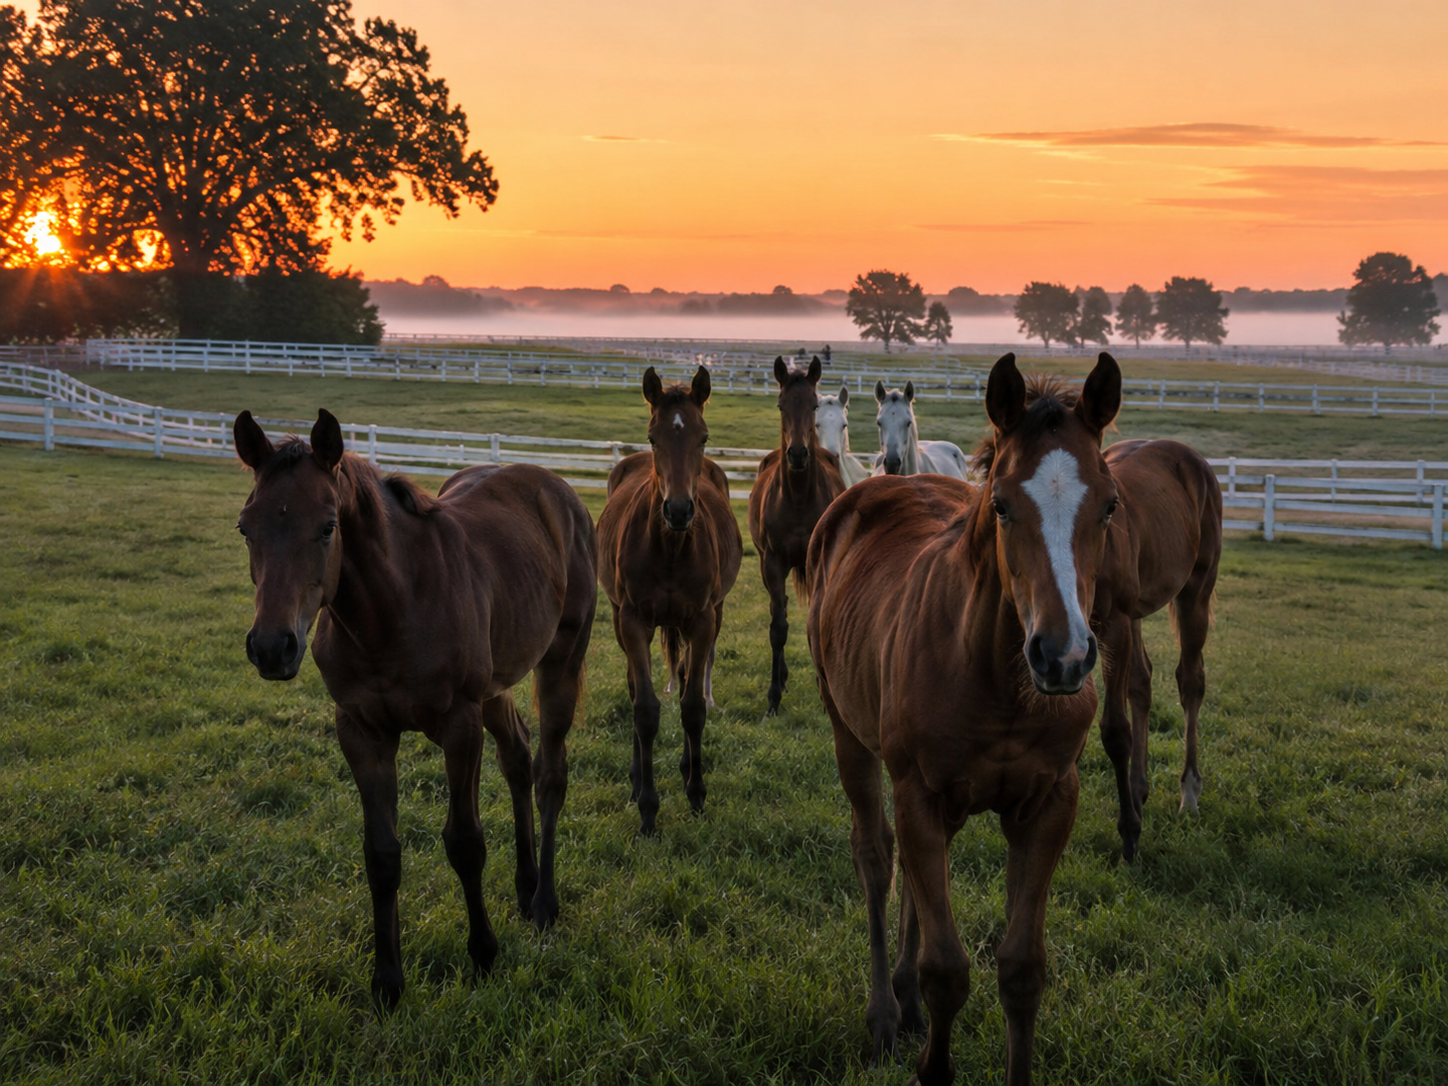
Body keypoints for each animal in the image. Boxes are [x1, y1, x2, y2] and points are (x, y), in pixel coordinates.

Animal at [233, 409, 596, 1009]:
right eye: (246, 527)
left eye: (328, 526)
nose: (271, 647)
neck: (392, 608)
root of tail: (557, 488)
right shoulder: (362, 731)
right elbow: (381, 854)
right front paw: (388, 982)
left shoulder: (459, 725)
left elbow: (465, 842)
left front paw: (484, 954)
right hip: (497, 683)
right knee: (518, 757)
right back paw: (524, 888)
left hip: (560, 659)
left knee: (550, 773)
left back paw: (544, 902)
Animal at [596, 365, 743, 835]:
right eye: (653, 437)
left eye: (703, 436)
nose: (678, 510)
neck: (671, 549)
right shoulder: (632, 621)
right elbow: (644, 709)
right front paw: (647, 809)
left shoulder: (702, 621)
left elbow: (692, 706)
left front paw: (696, 793)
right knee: (633, 688)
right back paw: (635, 780)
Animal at [746, 356, 846, 714]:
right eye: (781, 405)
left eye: (815, 405)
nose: (799, 454)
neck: (798, 501)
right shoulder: (772, 564)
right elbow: (778, 627)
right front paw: (773, 698)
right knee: (782, 610)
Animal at [808, 352, 1123, 1086]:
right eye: (1002, 505)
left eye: (1110, 504)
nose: (1063, 655)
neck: (1001, 686)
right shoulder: (920, 793)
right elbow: (947, 971)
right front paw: (928, 1059)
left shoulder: (1048, 804)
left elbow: (1021, 969)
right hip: (850, 735)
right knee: (878, 859)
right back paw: (885, 1014)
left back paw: (903, 1002)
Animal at [974, 381, 1223, 861]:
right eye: (999, 505)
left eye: (1110, 506)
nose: (1055, 652)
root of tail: (1191, 459)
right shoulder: (1076, 643)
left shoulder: (1107, 631)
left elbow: (1115, 730)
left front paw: (1130, 835)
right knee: (1142, 682)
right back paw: (1140, 788)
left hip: (1194, 595)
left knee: (1190, 681)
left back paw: (1189, 792)